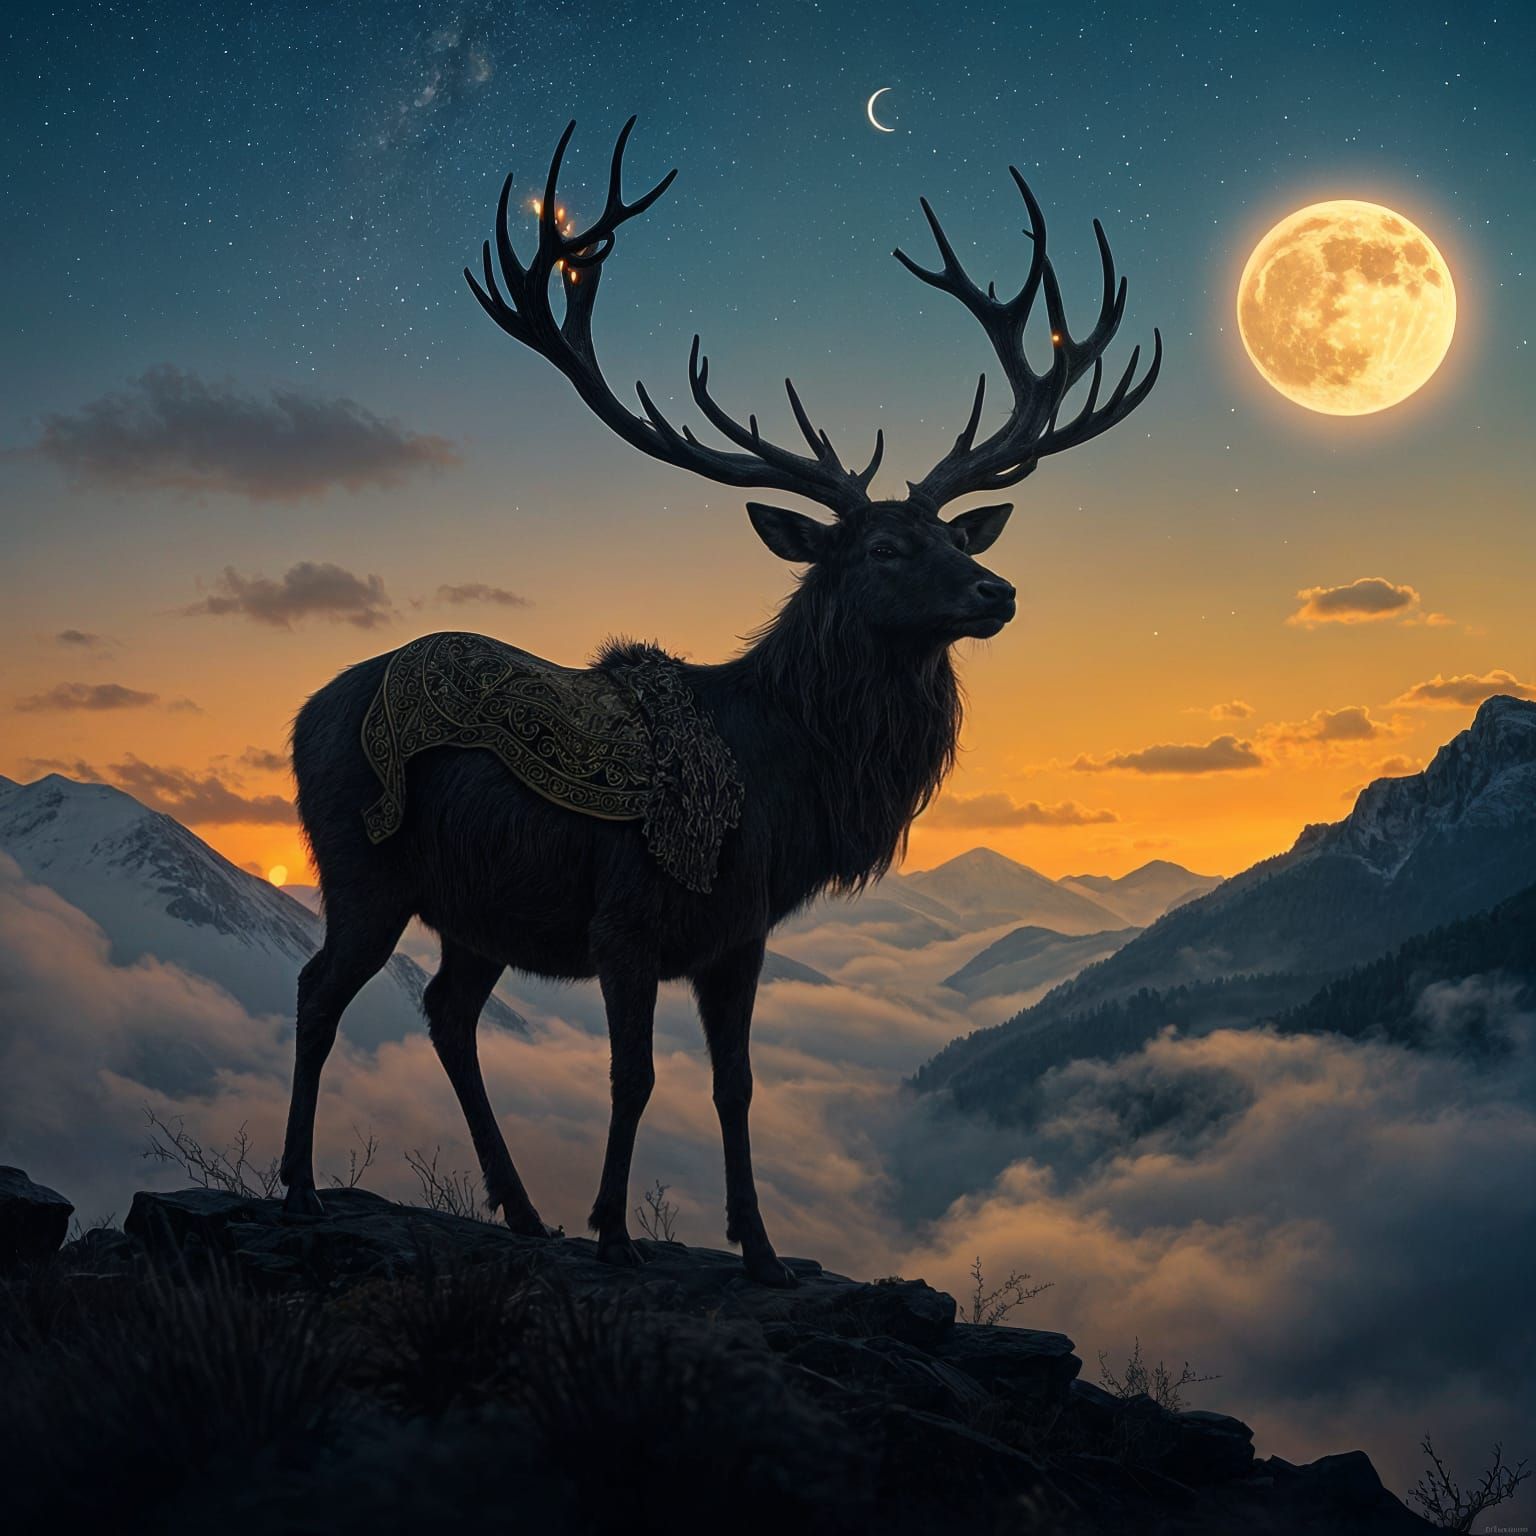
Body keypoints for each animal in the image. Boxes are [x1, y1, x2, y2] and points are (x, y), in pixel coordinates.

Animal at [278, 118, 1160, 1285]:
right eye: (882, 549)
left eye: (952, 535)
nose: (998, 591)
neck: (778, 777)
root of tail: (299, 716)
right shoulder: (627, 917)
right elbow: (633, 1077)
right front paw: (613, 1228)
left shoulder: (741, 935)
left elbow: (735, 1085)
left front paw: (762, 1248)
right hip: (362, 864)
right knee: (319, 991)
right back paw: (301, 1186)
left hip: (474, 909)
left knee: (445, 1014)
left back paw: (521, 1210)